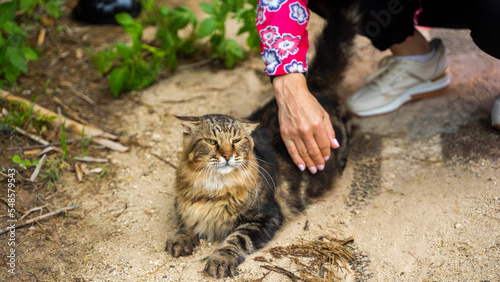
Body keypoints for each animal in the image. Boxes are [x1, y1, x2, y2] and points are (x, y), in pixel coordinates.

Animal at [166, 0, 358, 278]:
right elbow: (183, 222)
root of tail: (312, 86)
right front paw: (180, 239)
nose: (227, 155)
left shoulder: (265, 216)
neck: (214, 188)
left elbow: (234, 240)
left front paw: (219, 260)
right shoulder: (183, 203)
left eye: (236, 141)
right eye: (212, 142)